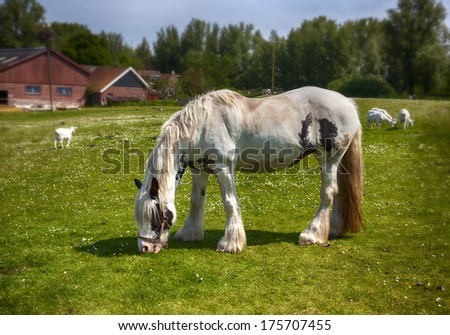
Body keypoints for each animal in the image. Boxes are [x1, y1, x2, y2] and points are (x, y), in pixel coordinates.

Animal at [133, 86, 362, 255]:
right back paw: (333, 229)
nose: (145, 248)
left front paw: (230, 243)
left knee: (328, 193)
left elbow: (229, 202)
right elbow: (196, 200)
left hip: (328, 158)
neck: (200, 125)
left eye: (155, 215)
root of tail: (347, 102)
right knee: (339, 192)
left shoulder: (223, 167)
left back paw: (311, 234)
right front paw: (190, 233)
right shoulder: (199, 169)